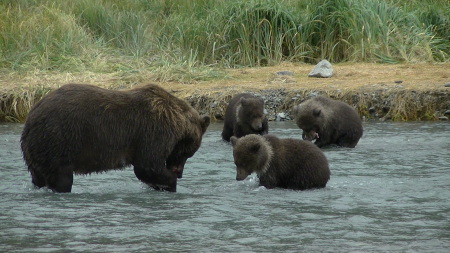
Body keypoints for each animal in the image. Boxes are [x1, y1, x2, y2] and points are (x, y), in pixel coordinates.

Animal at [20, 83, 210, 192]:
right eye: (188, 153)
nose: (179, 173)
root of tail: (30, 119)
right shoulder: (153, 132)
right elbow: (147, 166)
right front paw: (170, 183)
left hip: (37, 152)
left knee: (38, 177)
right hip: (59, 140)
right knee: (61, 178)